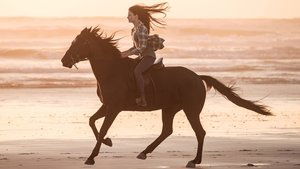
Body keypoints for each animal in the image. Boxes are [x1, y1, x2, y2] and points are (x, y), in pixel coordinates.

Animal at [61, 26, 272, 168]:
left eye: (78, 43)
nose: (63, 61)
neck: (112, 71)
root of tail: (198, 77)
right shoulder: (107, 106)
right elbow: (92, 122)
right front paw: (108, 142)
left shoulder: (114, 108)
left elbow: (102, 128)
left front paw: (91, 157)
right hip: (169, 109)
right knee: (167, 130)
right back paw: (144, 153)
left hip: (190, 110)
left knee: (199, 132)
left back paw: (194, 161)